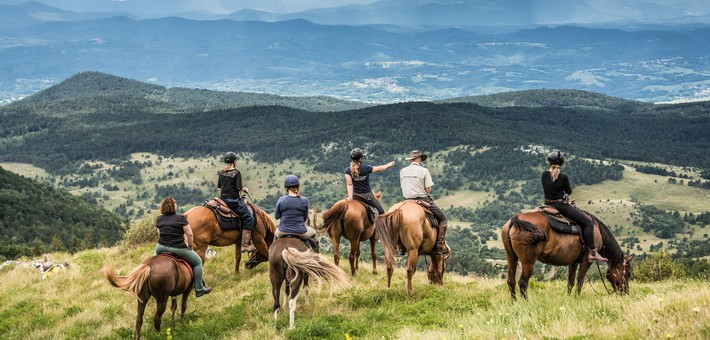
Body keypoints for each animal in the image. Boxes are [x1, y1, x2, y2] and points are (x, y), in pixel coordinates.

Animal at [500, 212, 636, 300]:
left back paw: (514, 303)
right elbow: (580, 281)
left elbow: (570, 282)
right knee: (523, 283)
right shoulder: (586, 261)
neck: (596, 231)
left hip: (511, 257)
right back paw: (525, 303)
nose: (626, 293)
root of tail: (514, 220)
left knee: (511, 281)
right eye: (628, 273)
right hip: (528, 261)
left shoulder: (573, 262)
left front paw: (570, 298)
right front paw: (577, 298)